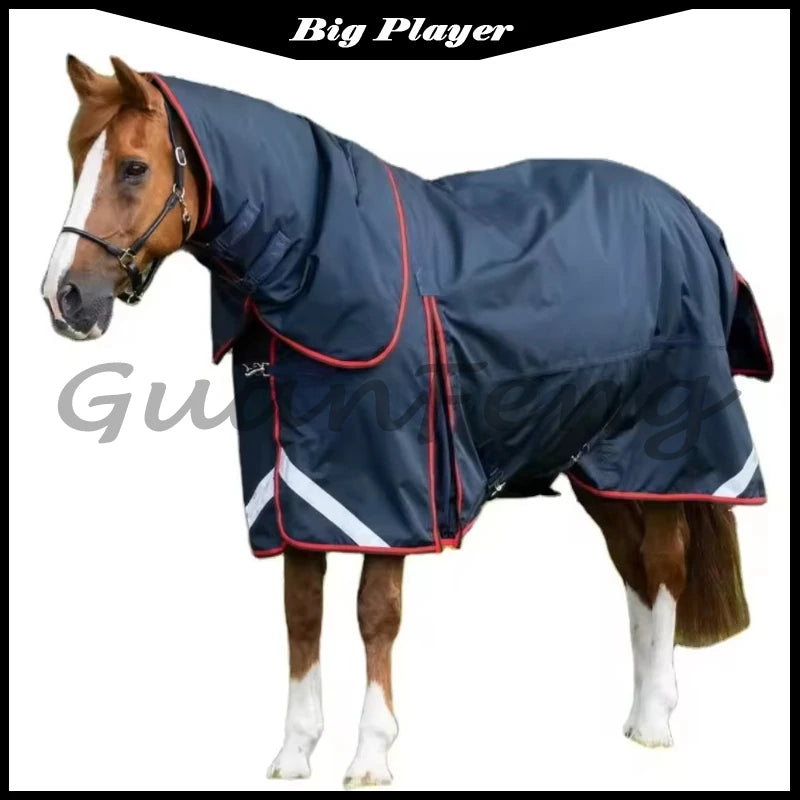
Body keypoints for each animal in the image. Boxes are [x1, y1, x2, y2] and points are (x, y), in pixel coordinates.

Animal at [41, 56, 772, 788]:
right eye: (76, 158)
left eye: (134, 167)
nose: (64, 297)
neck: (316, 268)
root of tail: (693, 220)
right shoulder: (290, 494)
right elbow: (301, 612)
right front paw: (295, 751)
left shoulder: (389, 499)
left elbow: (375, 615)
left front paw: (371, 754)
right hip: (597, 461)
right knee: (634, 569)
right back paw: (637, 711)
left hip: (666, 453)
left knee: (664, 564)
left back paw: (655, 721)